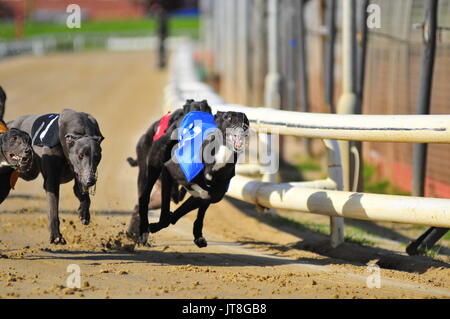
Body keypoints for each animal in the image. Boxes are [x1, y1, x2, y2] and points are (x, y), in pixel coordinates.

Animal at [11, 109, 105, 244]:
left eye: (97, 157)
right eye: (81, 155)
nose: (90, 181)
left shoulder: (80, 175)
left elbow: (83, 195)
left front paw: (84, 214)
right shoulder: (52, 182)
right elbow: (53, 210)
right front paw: (56, 236)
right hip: (28, 171)